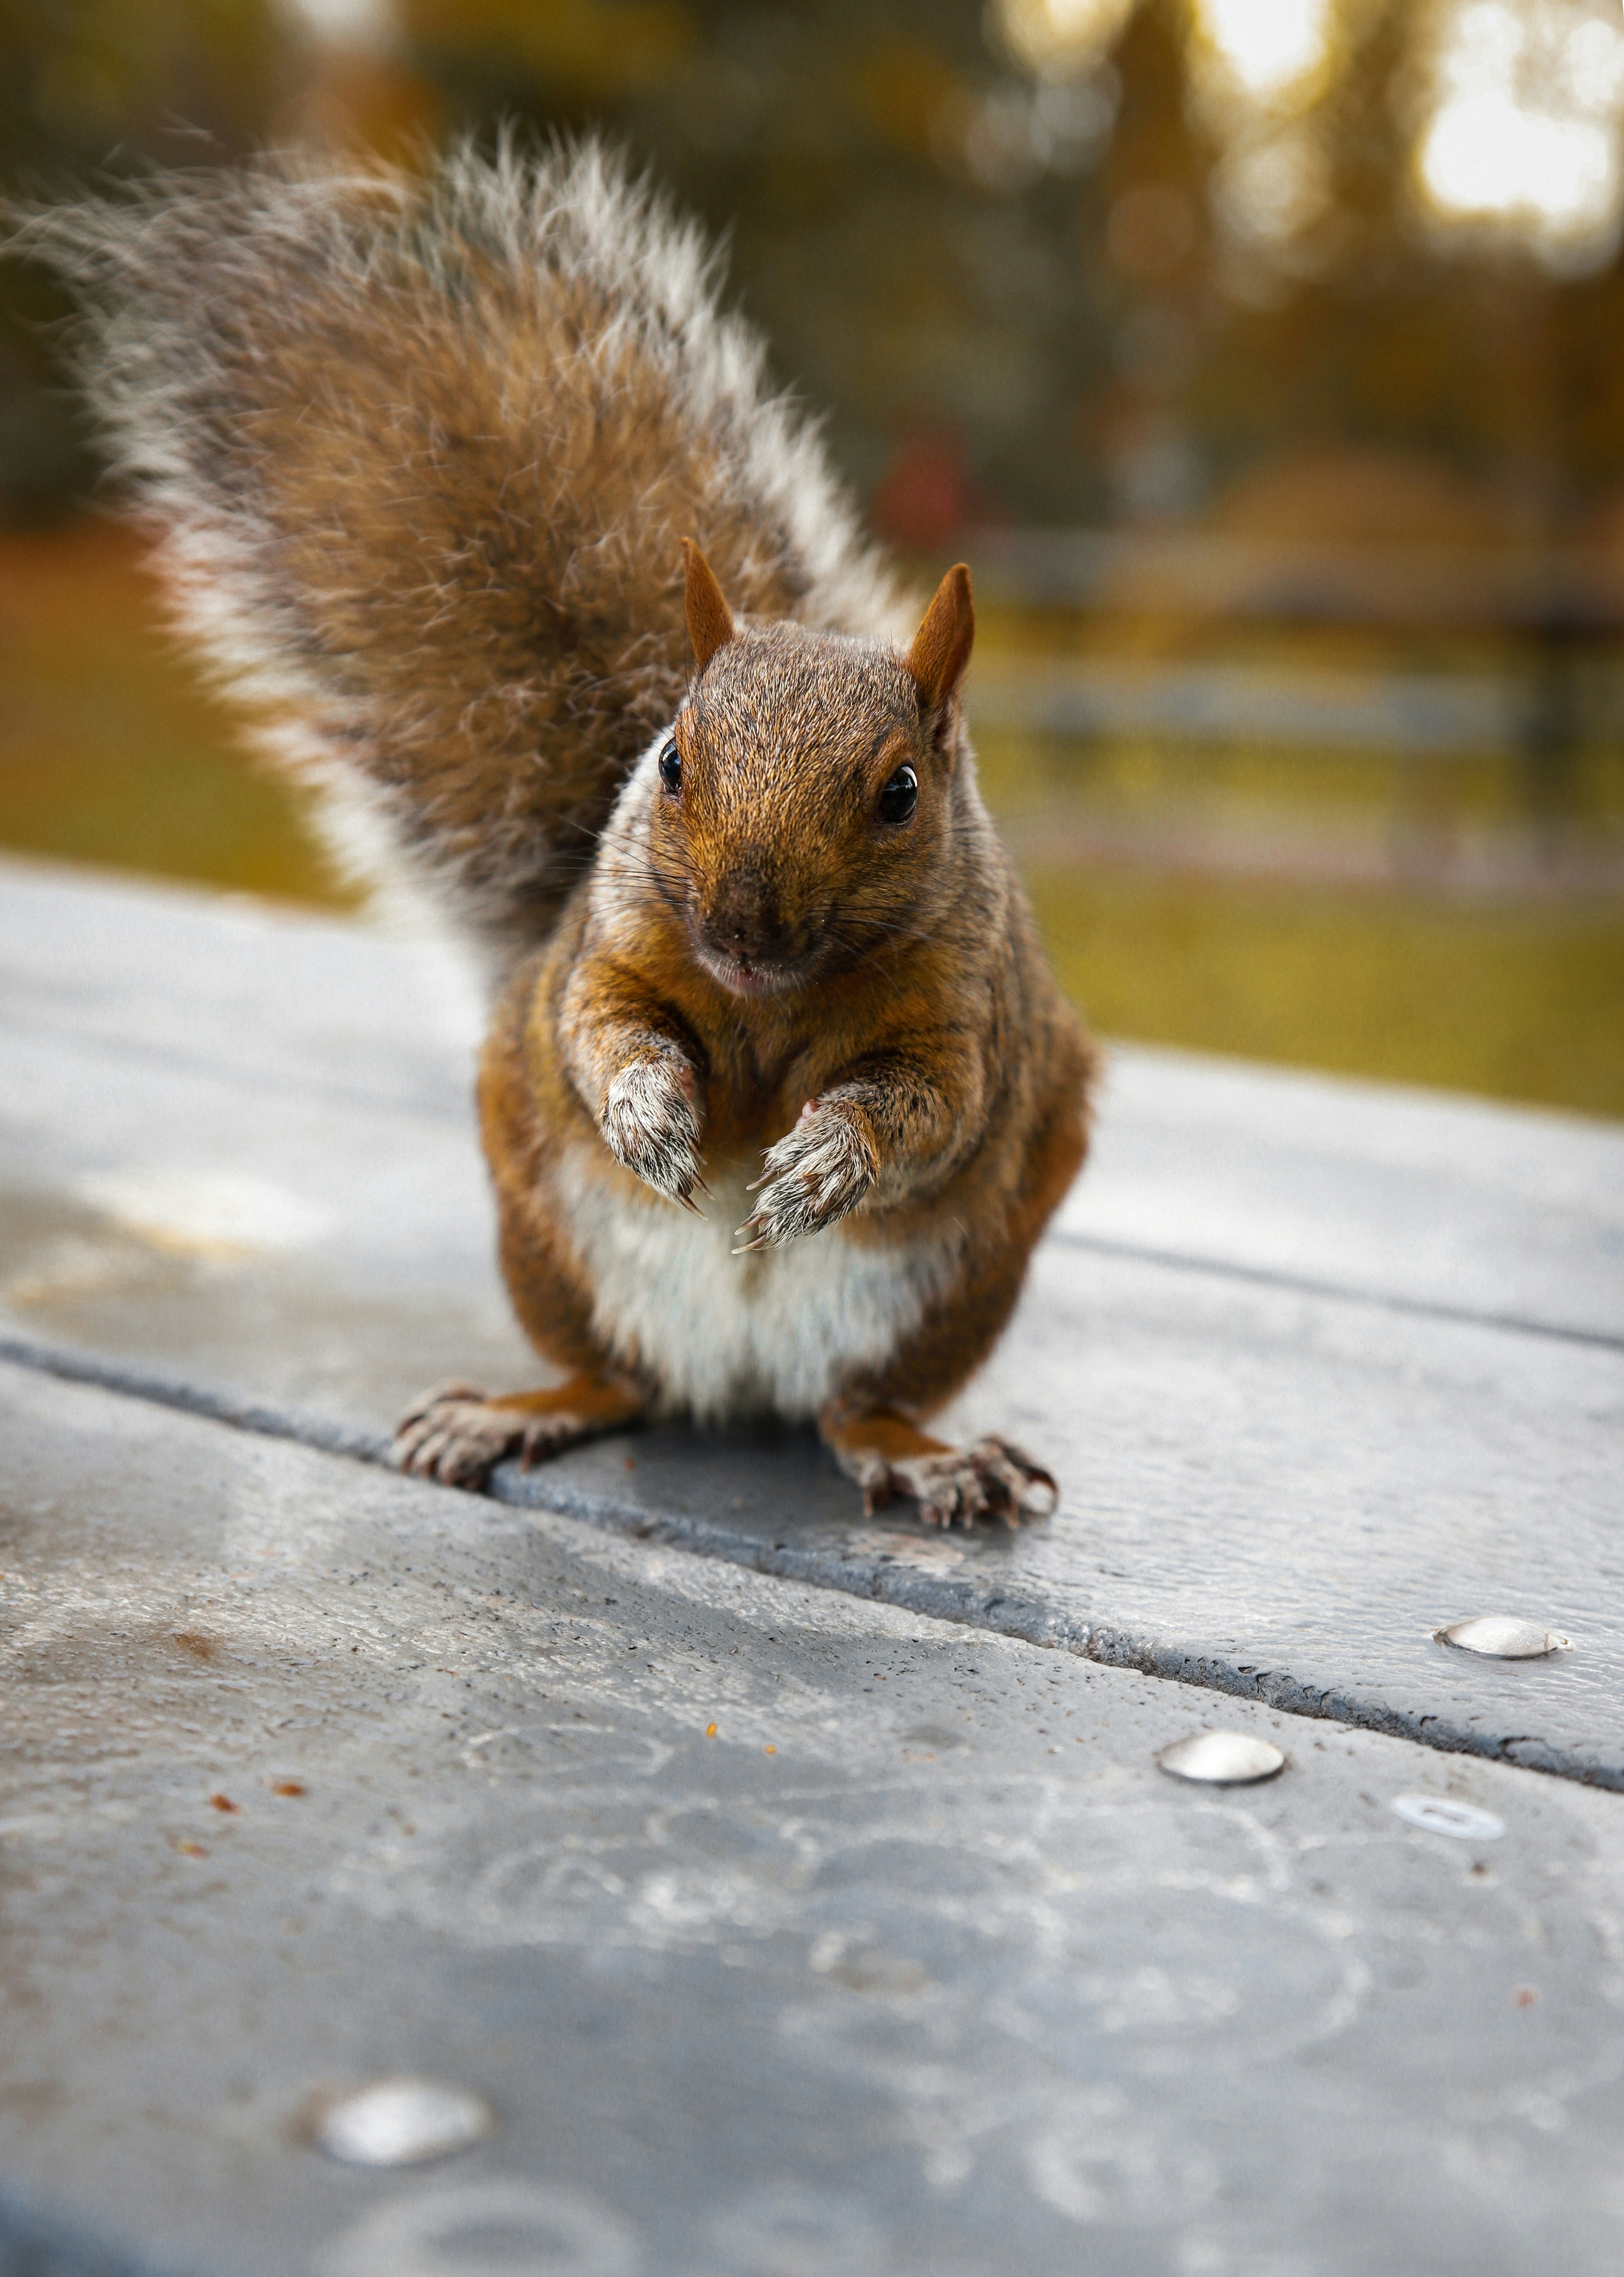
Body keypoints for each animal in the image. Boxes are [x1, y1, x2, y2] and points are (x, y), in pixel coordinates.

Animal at [19, 138, 1098, 1530]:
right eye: (673, 761)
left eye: (902, 792)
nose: (744, 928)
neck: (768, 1006)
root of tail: (734, 1375)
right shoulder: (609, 951)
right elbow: (599, 1032)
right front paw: (648, 1112)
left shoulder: (968, 1018)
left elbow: (930, 1111)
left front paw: (823, 1163)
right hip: (551, 1254)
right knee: (616, 1382)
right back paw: (512, 1409)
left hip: (940, 1302)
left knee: (851, 1409)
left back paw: (928, 1454)